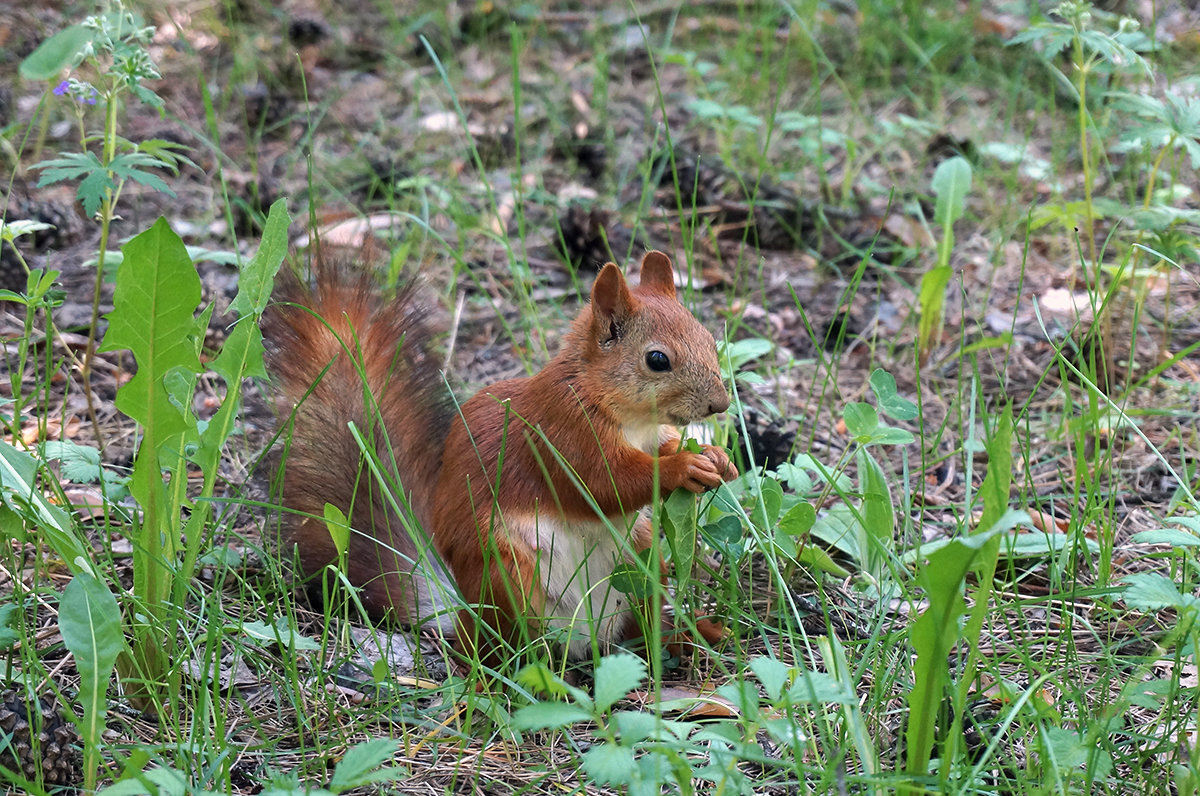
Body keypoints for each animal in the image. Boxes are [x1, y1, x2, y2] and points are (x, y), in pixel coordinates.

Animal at [266, 249, 734, 657]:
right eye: (657, 359)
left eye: (709, 338)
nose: (720, 405)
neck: (628, 417)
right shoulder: (561, 435)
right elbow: (604, 485)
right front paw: (682, 467)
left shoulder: (650, 436)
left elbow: (661, 448)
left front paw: (716, 457)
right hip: (504, 575)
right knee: (500, 650)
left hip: (641, 561)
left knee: (640, 632)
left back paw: (693, 635)